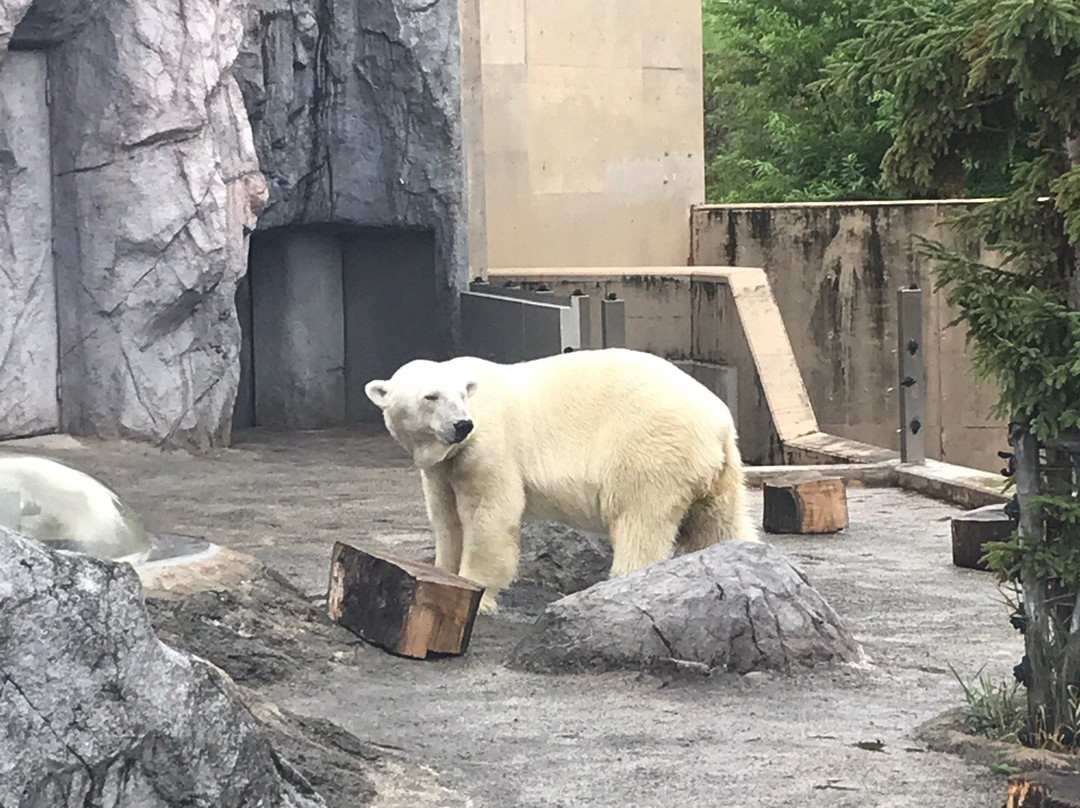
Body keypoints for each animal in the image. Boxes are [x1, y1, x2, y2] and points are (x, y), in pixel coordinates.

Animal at [367, 347, 756, 613]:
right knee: (718, 522)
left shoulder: (489, 447)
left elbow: (487, 515)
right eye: (430, 397)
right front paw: (442, 575)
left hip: (651, 447)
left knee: (639, 519)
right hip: (717, 470)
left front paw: (478, 593)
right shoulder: (443, 468)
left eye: (461, 395)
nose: (462, 424)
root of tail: (719, 418)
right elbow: (448, 521)